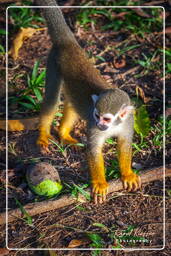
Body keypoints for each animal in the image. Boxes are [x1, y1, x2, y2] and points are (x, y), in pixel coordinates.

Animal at [34, 0, 140, 204]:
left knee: (72, 103)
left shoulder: (129, 121)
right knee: (51, 99)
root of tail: (68, 43)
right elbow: (94, 150)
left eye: (106, 119)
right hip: (53, 63)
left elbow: (124, 144)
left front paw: (127, 174)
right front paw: (99, 183)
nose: (100, 125)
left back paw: (63, 133)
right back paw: (43, 134)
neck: (114, 125)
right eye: (97, 116)